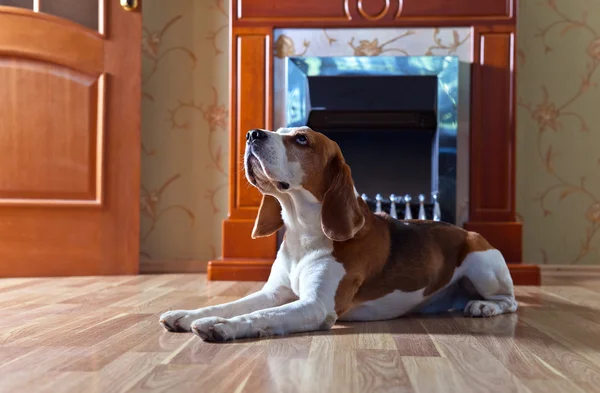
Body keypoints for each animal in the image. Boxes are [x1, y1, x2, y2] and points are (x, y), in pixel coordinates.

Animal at [159, 127, 516, 342]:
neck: (303, 233)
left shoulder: (316, 306)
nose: (251, 133)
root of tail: (468, 231)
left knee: (509, 301)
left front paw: (221, 325)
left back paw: (484, 307)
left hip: (482, 263)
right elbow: (236, 303)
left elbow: (259, 314)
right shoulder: (274, 293)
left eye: (301, 139)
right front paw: (188, 315)